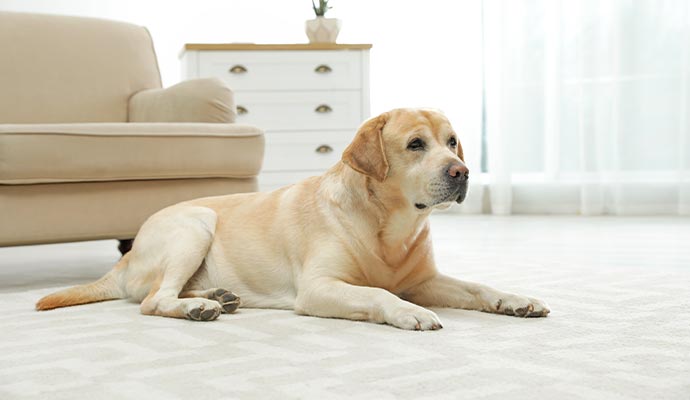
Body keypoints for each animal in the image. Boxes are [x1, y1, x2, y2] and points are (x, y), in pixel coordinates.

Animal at [37, 108, 548, 330]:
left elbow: (477, 287)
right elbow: (379, 293)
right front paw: (411, 312)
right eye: (416, 145)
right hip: (194, 224)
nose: (461, 172)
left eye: (453, 141)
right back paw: (197, 307)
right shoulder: (319, 288)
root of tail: (125, 260)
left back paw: (215, 296)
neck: (390, 228)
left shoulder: (425, 279)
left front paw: (515, 299)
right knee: (152, 300)